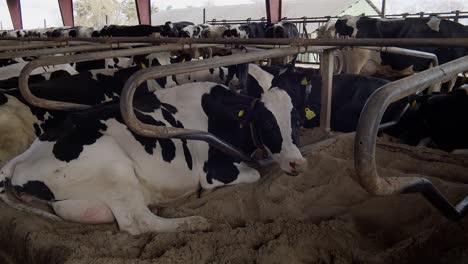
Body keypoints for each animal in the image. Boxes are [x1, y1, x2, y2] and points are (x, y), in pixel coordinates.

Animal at [0, 81, 308, 234]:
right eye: (267, 123)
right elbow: (256, 172)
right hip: (114, 167)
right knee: (138, 222)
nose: (298, 163)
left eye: (296, 120)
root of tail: (22, 159)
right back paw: (193, 223)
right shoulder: (215, 172)